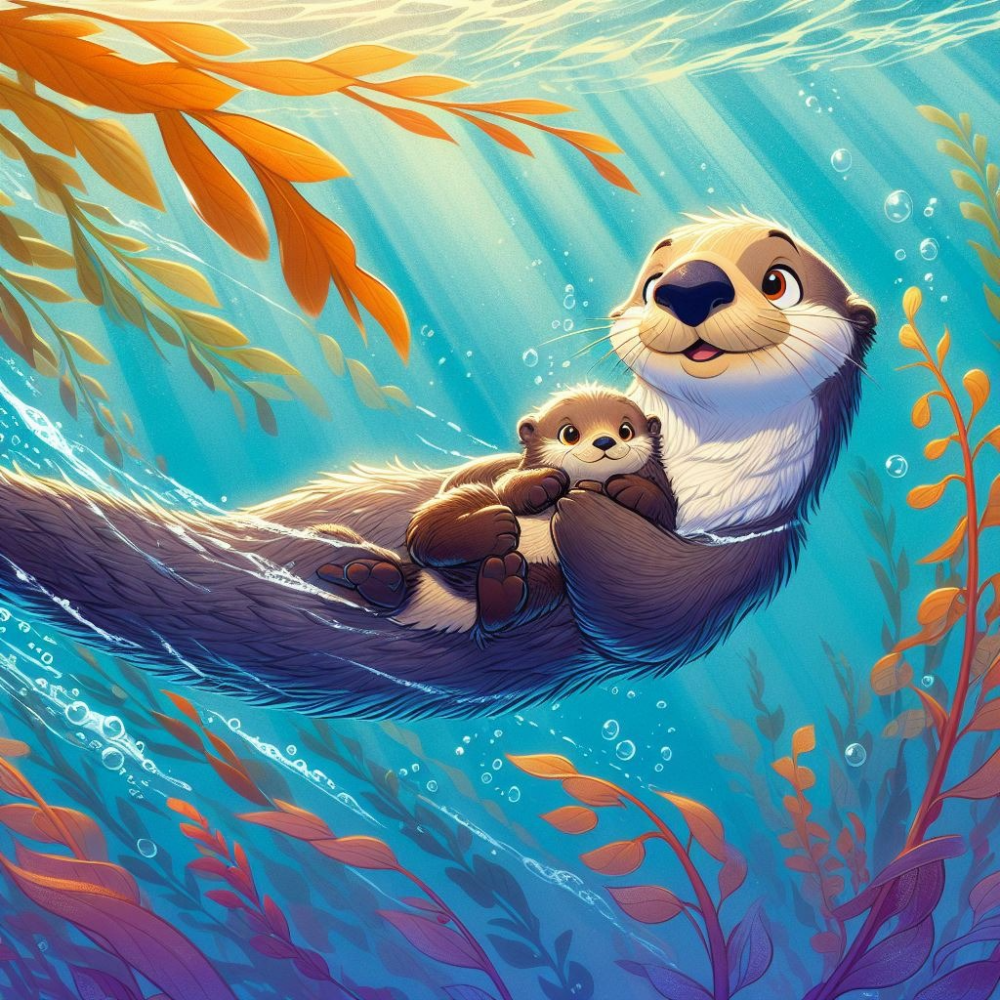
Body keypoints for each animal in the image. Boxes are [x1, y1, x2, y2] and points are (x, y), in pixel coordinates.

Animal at [383, 386, 674, 635]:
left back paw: (499, 585)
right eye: (570, 433)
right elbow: (509, 485)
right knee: (425, 534)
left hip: (548, 577)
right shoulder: (514, 475)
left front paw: (625, 486)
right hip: (466, 498)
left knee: (508, 607)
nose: (604, 441)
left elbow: (662, 508)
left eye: (625, 430)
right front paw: (546, 482)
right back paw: (496, 528)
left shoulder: (662, 493)